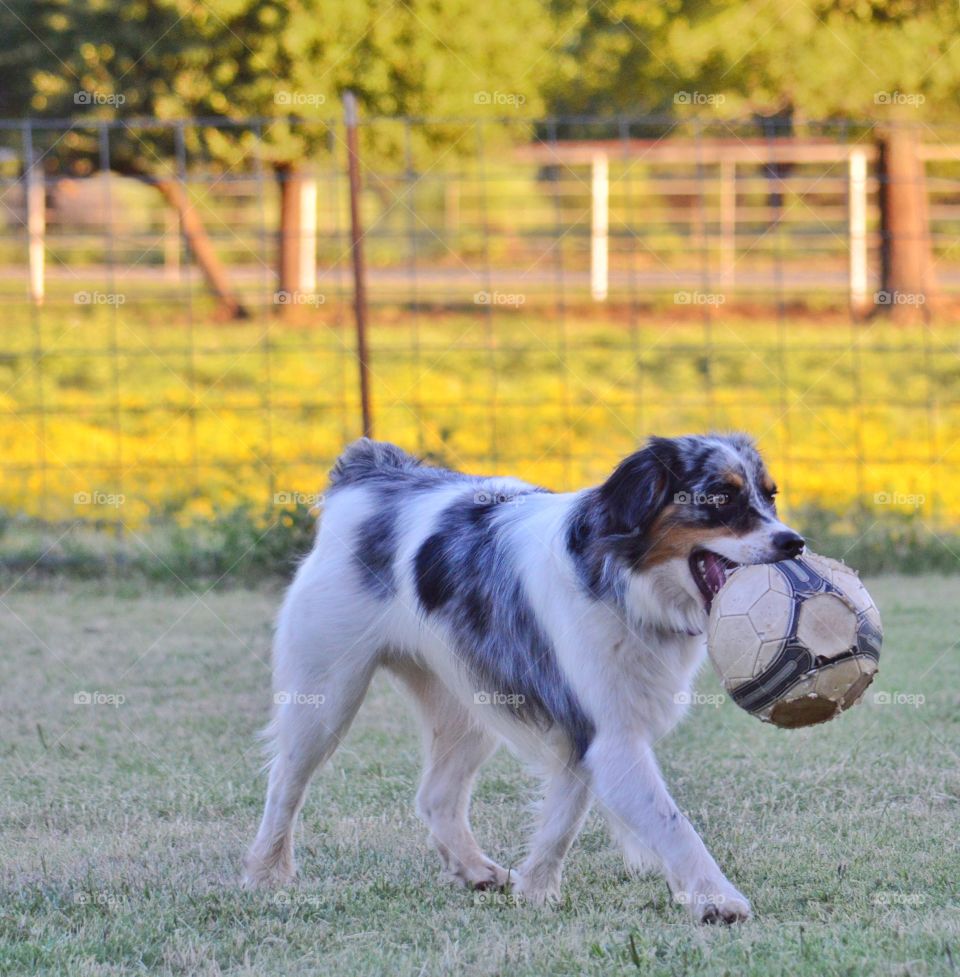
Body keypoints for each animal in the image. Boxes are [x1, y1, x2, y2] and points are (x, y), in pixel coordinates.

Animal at [246, 434, 804, 924]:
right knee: (285, 785)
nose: (794, 543)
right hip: (326, 698)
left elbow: (562, 820)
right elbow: (673, 825)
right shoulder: (611, 738)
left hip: (469, 708)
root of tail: (371, 471)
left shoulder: (584, 736)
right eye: (721, 497)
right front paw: (717, 898)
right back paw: (267, 873)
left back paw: (475, 869)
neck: (623, 582)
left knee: (435, 797)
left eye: (771, 495)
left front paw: (534, 891)